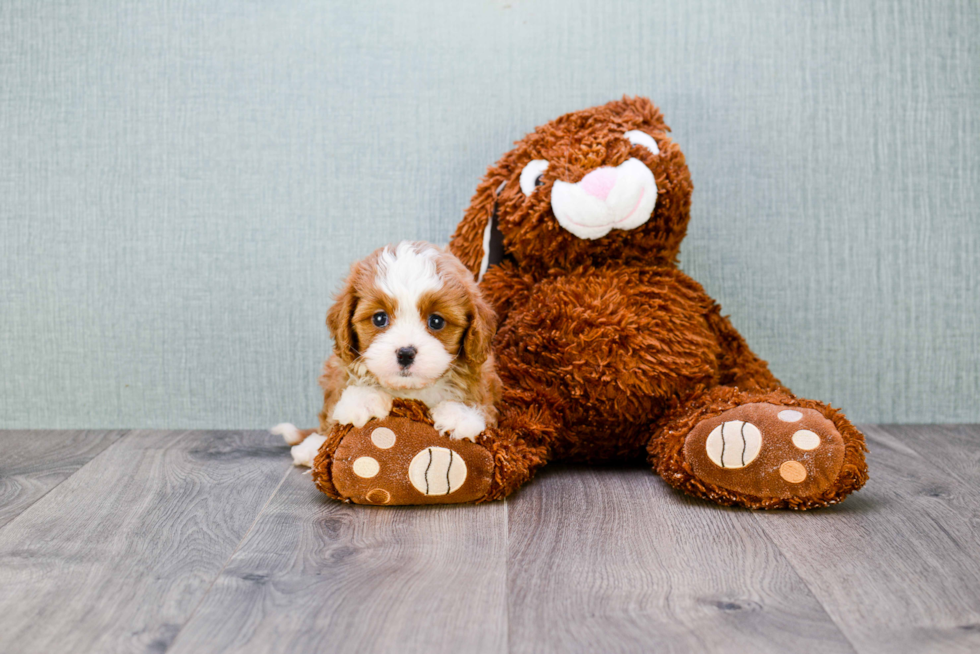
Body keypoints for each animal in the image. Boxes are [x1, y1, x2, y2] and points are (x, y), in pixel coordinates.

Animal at [276, 243, 506, 468]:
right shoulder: (340, 369)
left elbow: (477, 396)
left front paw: (460, 415)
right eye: (379, 318)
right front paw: (364, 400)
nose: (405, 353)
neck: (409, 390)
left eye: (436, 321)